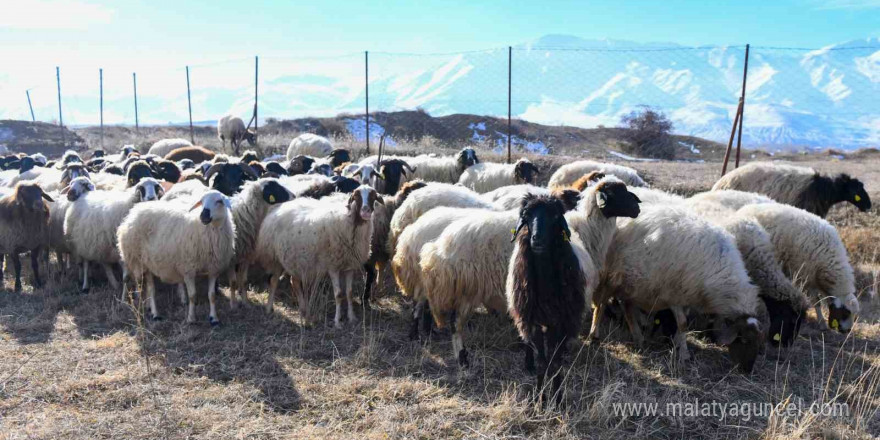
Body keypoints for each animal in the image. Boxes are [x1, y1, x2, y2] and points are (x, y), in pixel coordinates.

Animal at [120, 189, 239, 324]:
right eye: (202, 201)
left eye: (219, 201)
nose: (203, 216)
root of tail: (132, 213)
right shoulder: (188, 269)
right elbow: (192, 296)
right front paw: (191, 318)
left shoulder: (213, 269)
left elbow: (212, 295)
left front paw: (214, 318)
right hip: (137, 260)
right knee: (145, 288)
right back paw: (147, 312)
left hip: (148, 263)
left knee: (150, 288)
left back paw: (153, 311)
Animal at [253, 185, 380, 326]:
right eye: (356, 196)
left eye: (373, 196)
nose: (366, 211)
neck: (348, 221)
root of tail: (275, 210)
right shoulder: (332, 266)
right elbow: (338, 294)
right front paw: (337, 321)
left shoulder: (349, 265)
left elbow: (349, 293)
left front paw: (351, 318)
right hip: (276, 259)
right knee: (274, 281)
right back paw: (269, 308)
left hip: (295, 260)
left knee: (294, 282)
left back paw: (304, 312)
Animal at [506, 195, 596, 406]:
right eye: (527, 215)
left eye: (555, 216)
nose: (537, 239)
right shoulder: (534, 322)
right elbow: (542, 363)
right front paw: (539, 399)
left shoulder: (562, 322)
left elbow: (555, 362)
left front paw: (557, 398)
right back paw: (529, 362)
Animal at [736, 203, 860, 334]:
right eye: (845, 313)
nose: (846, 331)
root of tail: (746, 207)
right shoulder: (806, 276)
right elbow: (816, 302)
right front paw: (821, 323)